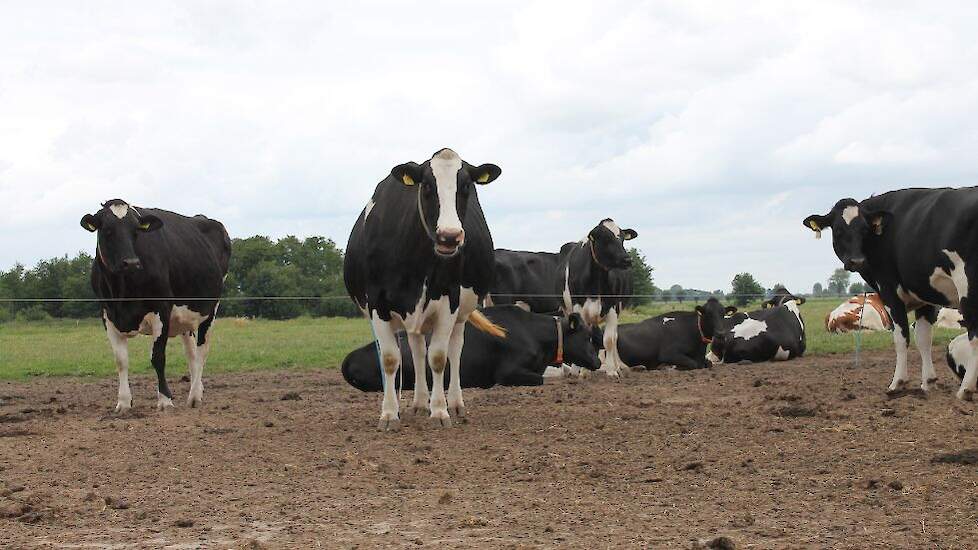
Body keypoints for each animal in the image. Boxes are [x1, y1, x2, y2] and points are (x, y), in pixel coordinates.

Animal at [80, 201, 231, 412]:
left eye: (136, 231)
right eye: (107, 230)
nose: (131, 263)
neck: (122, 294)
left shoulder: (162, 309)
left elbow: (158, 357)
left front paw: (165, 400)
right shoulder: (107, 314)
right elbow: (121, 360)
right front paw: (123, 402)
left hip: (210, 309)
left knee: (202, 351)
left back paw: (194, 396)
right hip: (185, 318)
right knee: (191, 354)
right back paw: (197, 390)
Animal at [344, 149, 504, 434]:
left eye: (466, 186)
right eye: (427, 185)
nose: (449, 236)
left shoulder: (449, 300)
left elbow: (439, 357)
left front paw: (439, 411)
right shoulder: (377, 304)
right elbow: (390, 358)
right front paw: (389, 413)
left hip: (462, 312)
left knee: (455, 348)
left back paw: (455, 403)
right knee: (417, 349)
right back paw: (418, 403)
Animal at [488, 220, 640, 380]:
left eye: (622, 239)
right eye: (605, 239)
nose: (627, 259)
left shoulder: (613, 307)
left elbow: (609, 339)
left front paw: (611, 371)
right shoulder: (577, 307)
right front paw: (579, 371)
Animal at [804, 190, 976, 402]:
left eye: (864, 229)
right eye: (837, 230)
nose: (856, 261)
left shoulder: (890, 293)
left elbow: (901, 338)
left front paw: (898, 383)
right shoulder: (925, 296)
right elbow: (923, 339)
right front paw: (928, 382)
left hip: (967, 286)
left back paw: (966, 389)